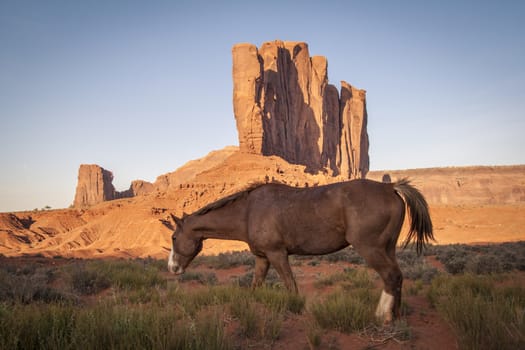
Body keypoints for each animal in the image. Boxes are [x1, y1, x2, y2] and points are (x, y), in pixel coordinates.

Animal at [166, 178, 432, 322]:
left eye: (174, 236)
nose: (172, 268)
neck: (248, 211)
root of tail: (391, 187)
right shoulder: (262, 258)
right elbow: (255, 286)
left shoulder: (277, 254)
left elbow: (291, 286)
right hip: (388, 248)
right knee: (397, 277)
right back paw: (396, 315)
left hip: (371, 248)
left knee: (391, 276)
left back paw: (382, 315)